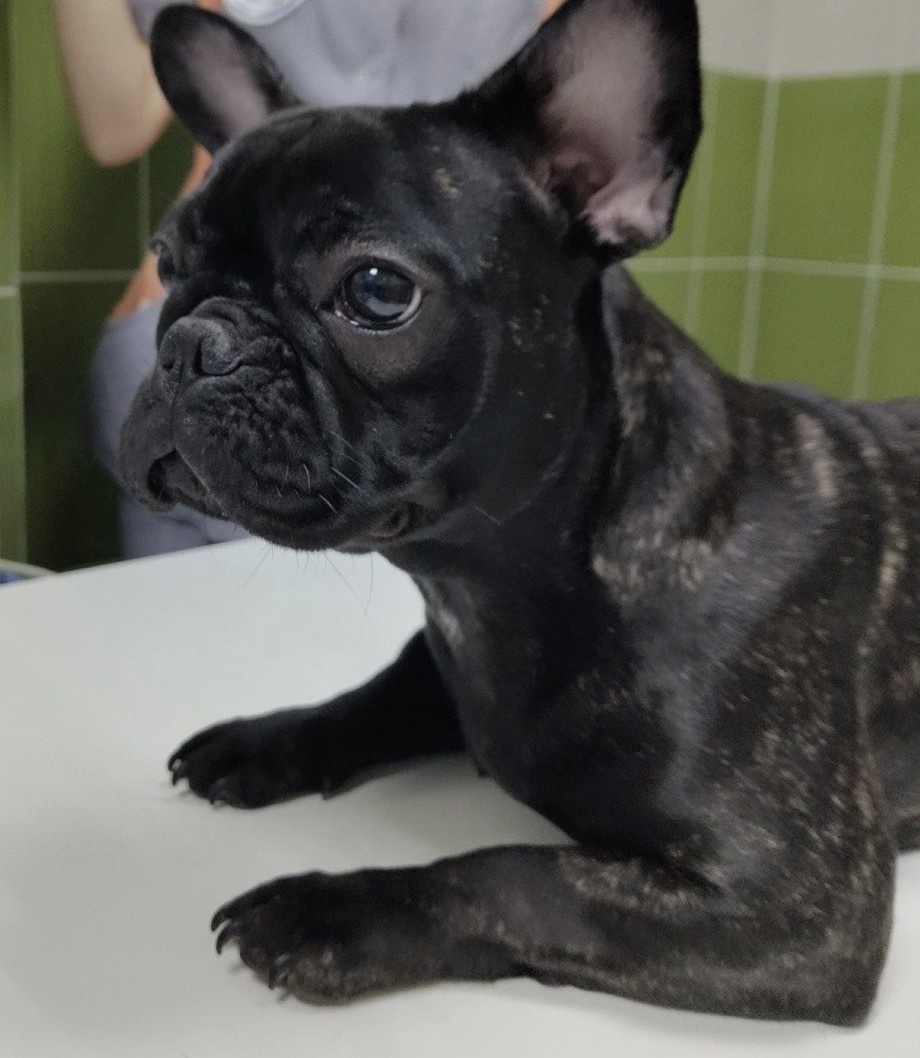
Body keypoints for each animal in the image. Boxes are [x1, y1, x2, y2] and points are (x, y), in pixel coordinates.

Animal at [119, 0, 920, 1025]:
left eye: (376, 290)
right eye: (165, 264)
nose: (189, 342)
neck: (497, 579)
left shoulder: (796, 904)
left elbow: (518, 877)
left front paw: (332, 913)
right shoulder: (442, 668)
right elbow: (374, 697)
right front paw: (267, 739)